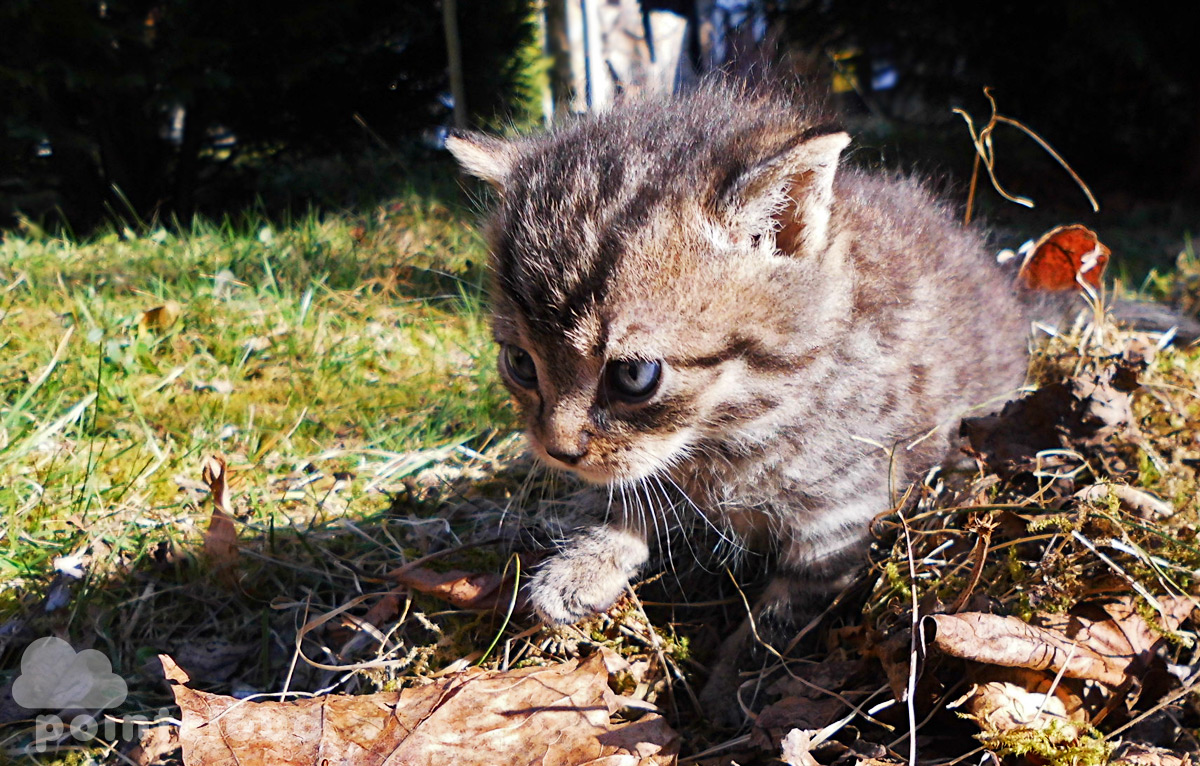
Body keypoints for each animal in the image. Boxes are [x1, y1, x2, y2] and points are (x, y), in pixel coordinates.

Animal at [451, 81, 1032, 691]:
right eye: (520, 363)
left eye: (634, 376)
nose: (557, 451)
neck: (735, 425)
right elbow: (625, 497)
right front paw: (583, 564)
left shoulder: (847, 508)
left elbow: (787, 612)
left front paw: (734, 688)